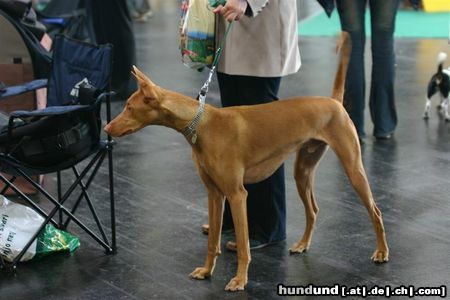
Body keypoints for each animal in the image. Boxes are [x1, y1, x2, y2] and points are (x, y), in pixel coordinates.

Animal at [104, 32, 386, 290]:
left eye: (129, 107)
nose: (106, 128)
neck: (201, 124)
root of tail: (334, 102)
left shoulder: (237, 195)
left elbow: (242, 244)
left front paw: (240, 280)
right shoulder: (215, 194)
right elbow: (212, 241)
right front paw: (206, 271)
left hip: (353, 169)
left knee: (376, 211)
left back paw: (382, 252)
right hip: (303, 171)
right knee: (313, 210)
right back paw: (303, 244)